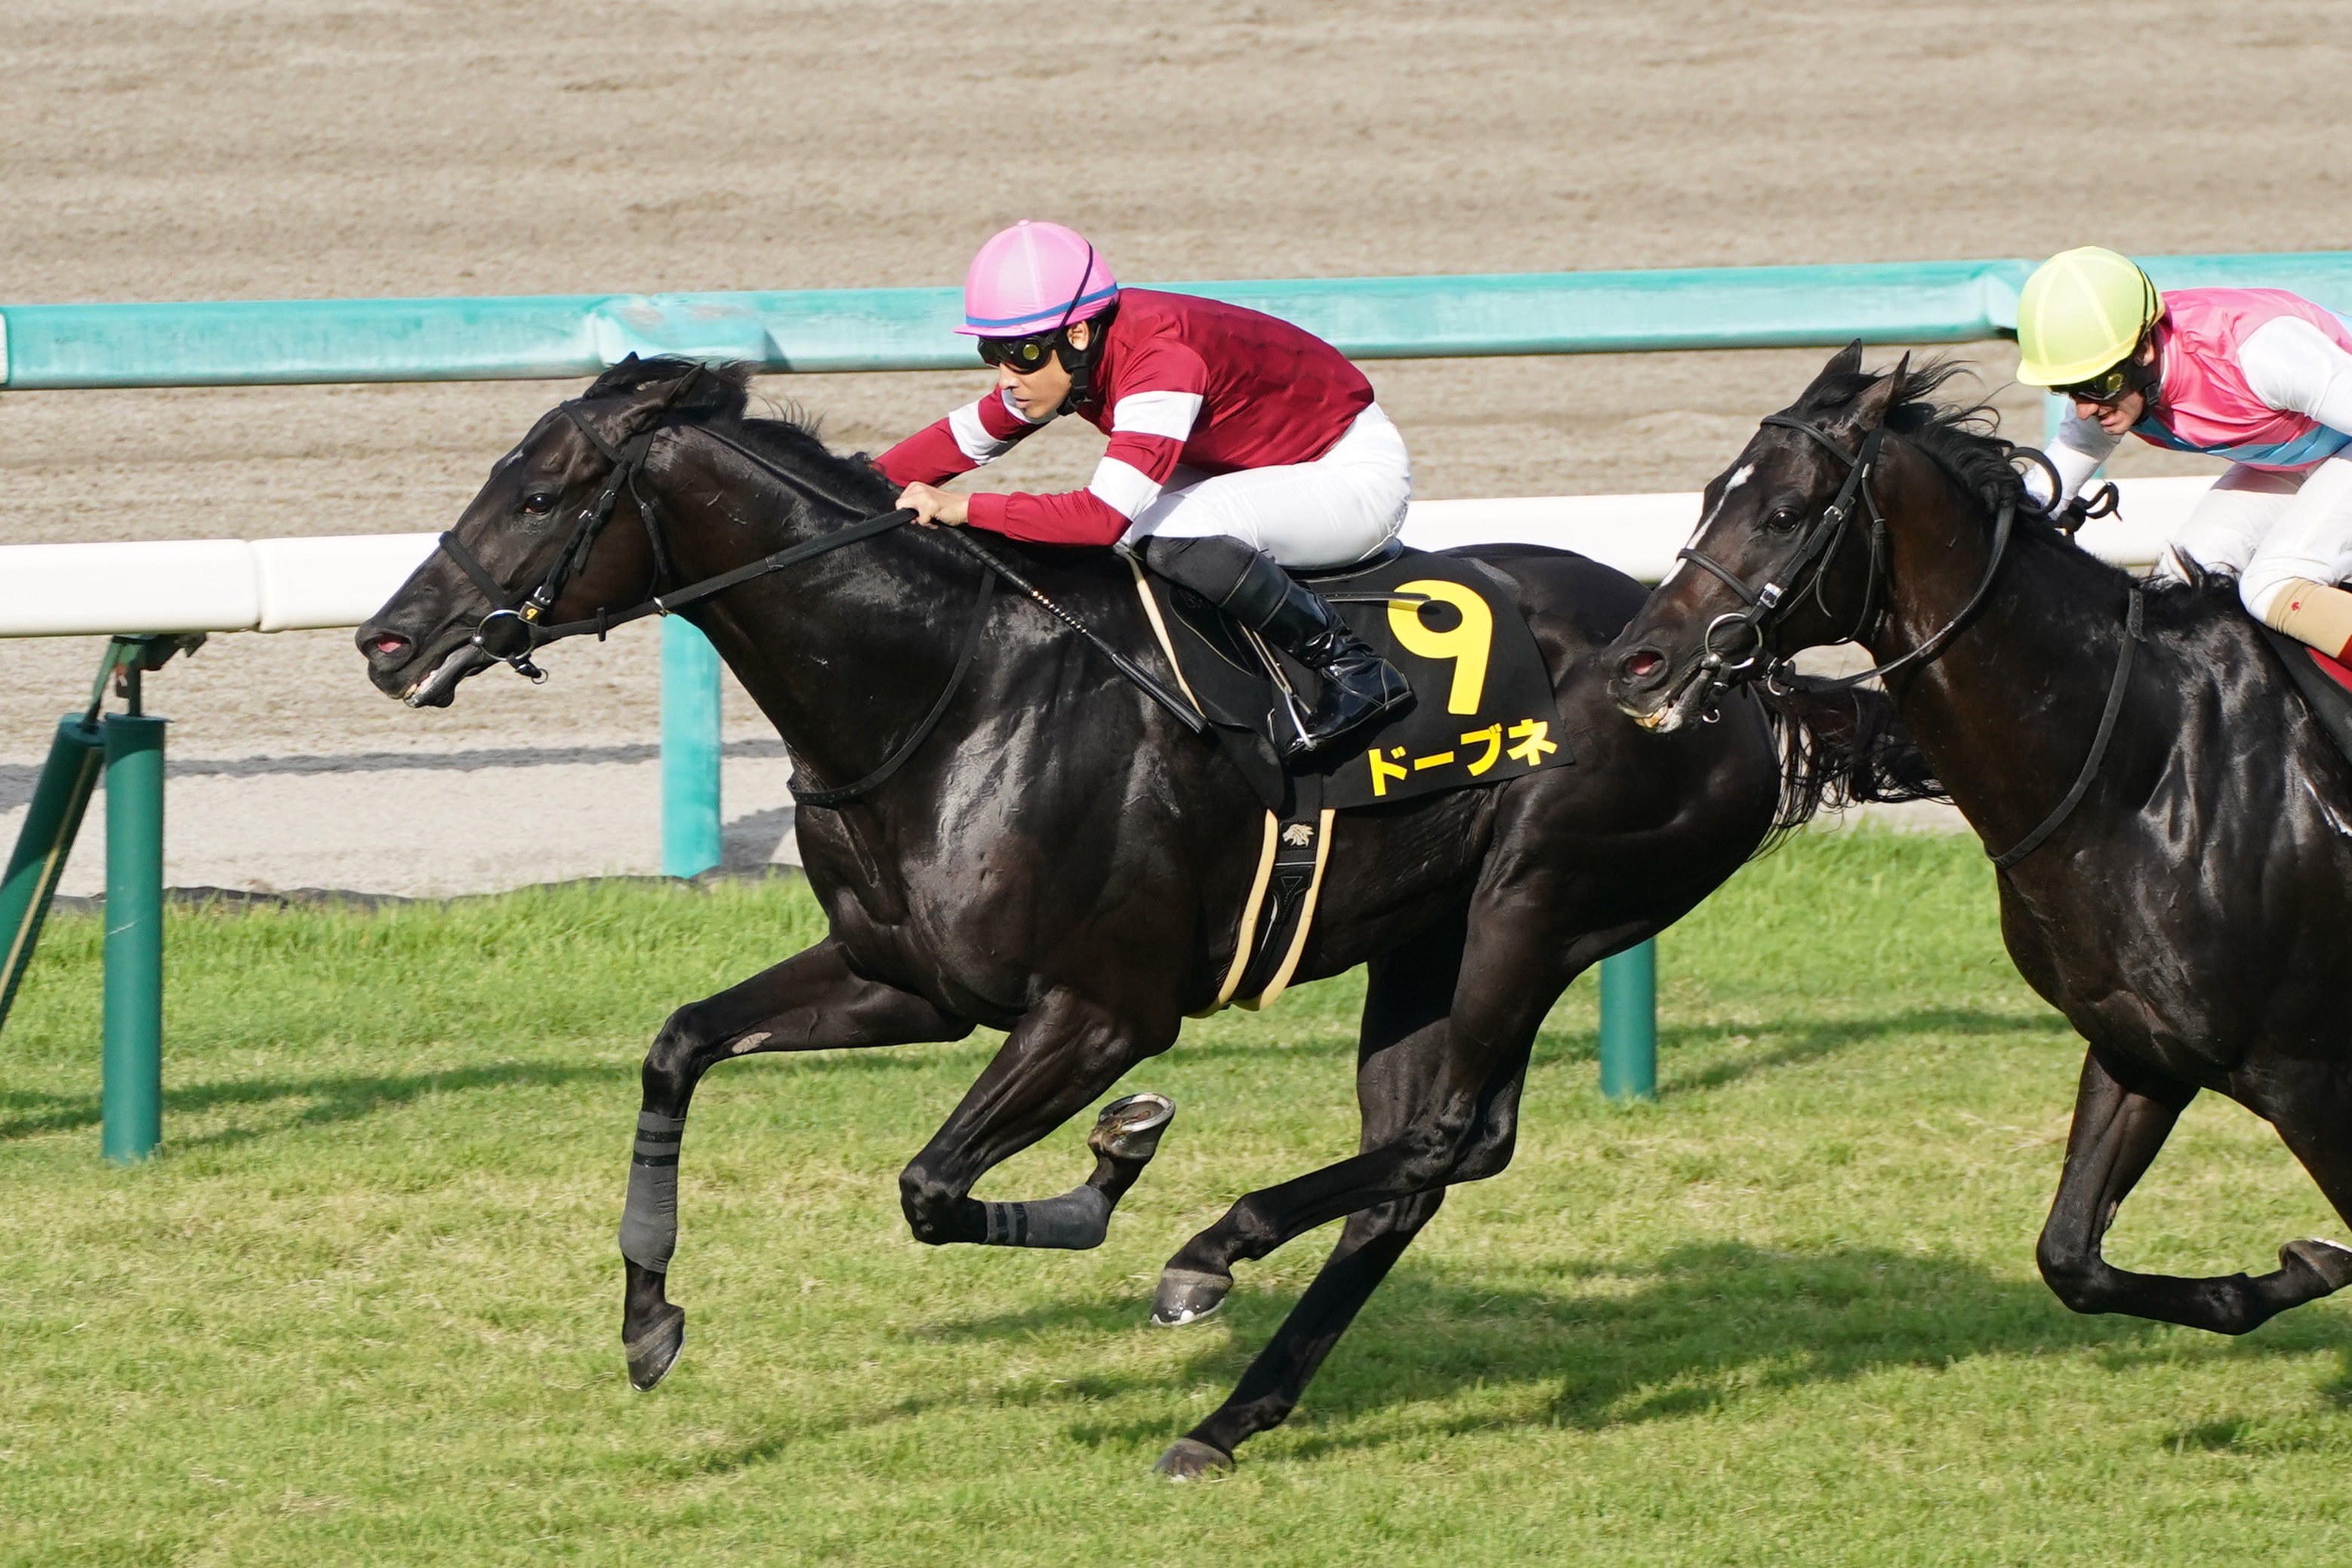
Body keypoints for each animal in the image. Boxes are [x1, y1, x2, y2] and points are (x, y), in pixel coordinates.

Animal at [358, 355, 1914, 1476]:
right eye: (500, 472)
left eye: (545, 493)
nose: (385, 638)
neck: (945, 689)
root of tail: (1741, 675)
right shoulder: (902, 978)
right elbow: (679, 1044)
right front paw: (648, 1320)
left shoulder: (1103, 1013)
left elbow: (931, 1185)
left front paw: (1123, 1162)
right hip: (1427, 937)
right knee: (1418, 1167)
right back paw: (1229, 1416)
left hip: (1540, 902)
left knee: (1448, 1137)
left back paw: (1208, 1260)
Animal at [1605, 342, 2352, 1341]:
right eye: (1706, 494)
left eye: (1784, 512)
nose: (1635, 664)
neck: (2141, 764)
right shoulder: (2139, 1044)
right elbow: (2070, 1256)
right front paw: (2296, 1266)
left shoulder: (2307, 1072)